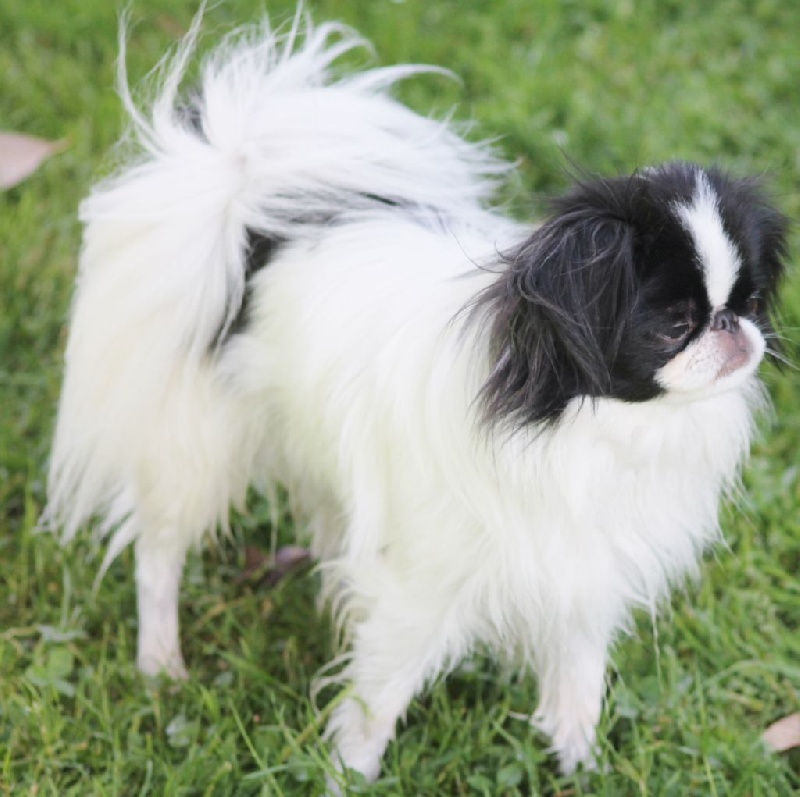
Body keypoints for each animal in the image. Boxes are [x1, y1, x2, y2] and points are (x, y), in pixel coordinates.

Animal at [45, 13, 787, 782]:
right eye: (674, 325)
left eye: (751, 302)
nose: (734, 331)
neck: (597, 426)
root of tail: (258, 220)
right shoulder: (422, 589)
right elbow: (380, 694)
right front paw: (348, 775)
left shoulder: (581, 570)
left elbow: (577, 675)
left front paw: (580, 762)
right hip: (196, 449)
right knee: (157, 556)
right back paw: (160, 664)